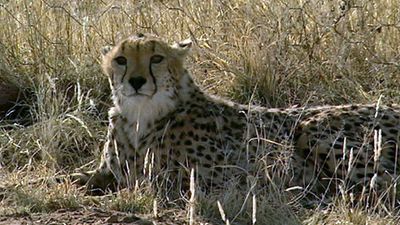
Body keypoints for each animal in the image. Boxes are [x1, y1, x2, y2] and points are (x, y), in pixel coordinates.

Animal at [72, 33, 400, 199]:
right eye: (121, 60)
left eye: (156, 58)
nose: (137, 81)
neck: (142, 115)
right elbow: (92, 176)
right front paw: (82, 179)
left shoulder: (224, 179)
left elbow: (154, 179)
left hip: (313, 127)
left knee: (383, 184)